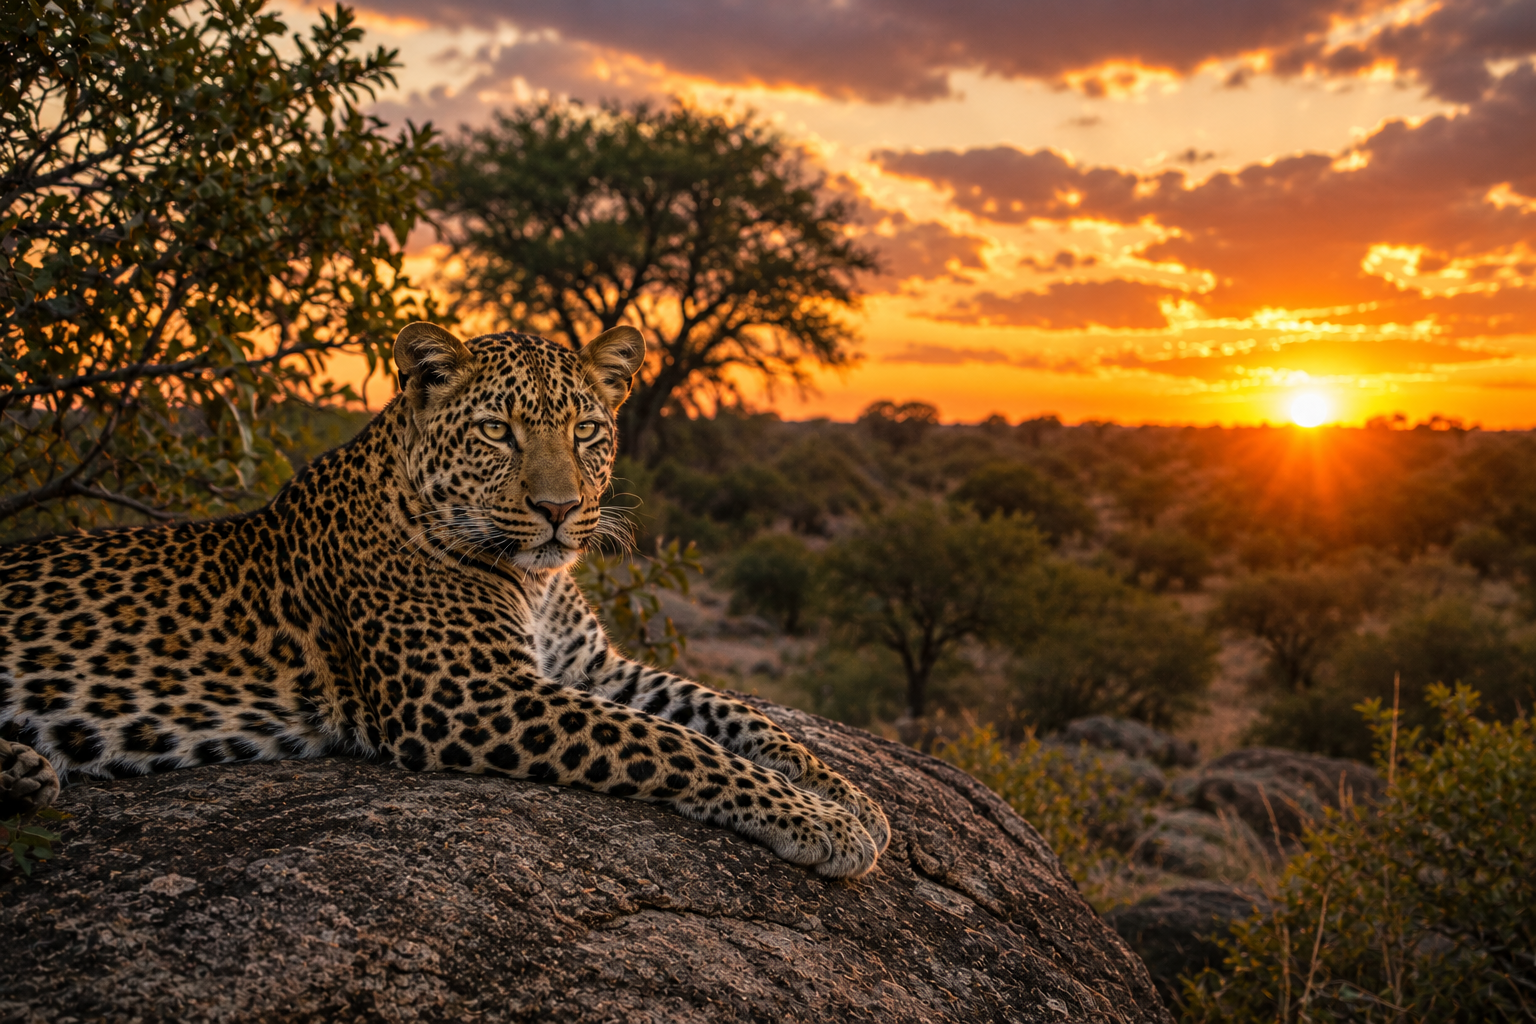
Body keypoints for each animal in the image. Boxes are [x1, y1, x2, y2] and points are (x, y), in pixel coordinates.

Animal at [0, 322, 889, 877]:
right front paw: (824, 824)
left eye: (587, 432)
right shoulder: (470, 695)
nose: (560, 509)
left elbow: (729, 712)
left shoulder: (591, 667)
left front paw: (851, 797)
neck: (536, 579)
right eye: (498, 432)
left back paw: (27, 773)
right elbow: (676, 743)